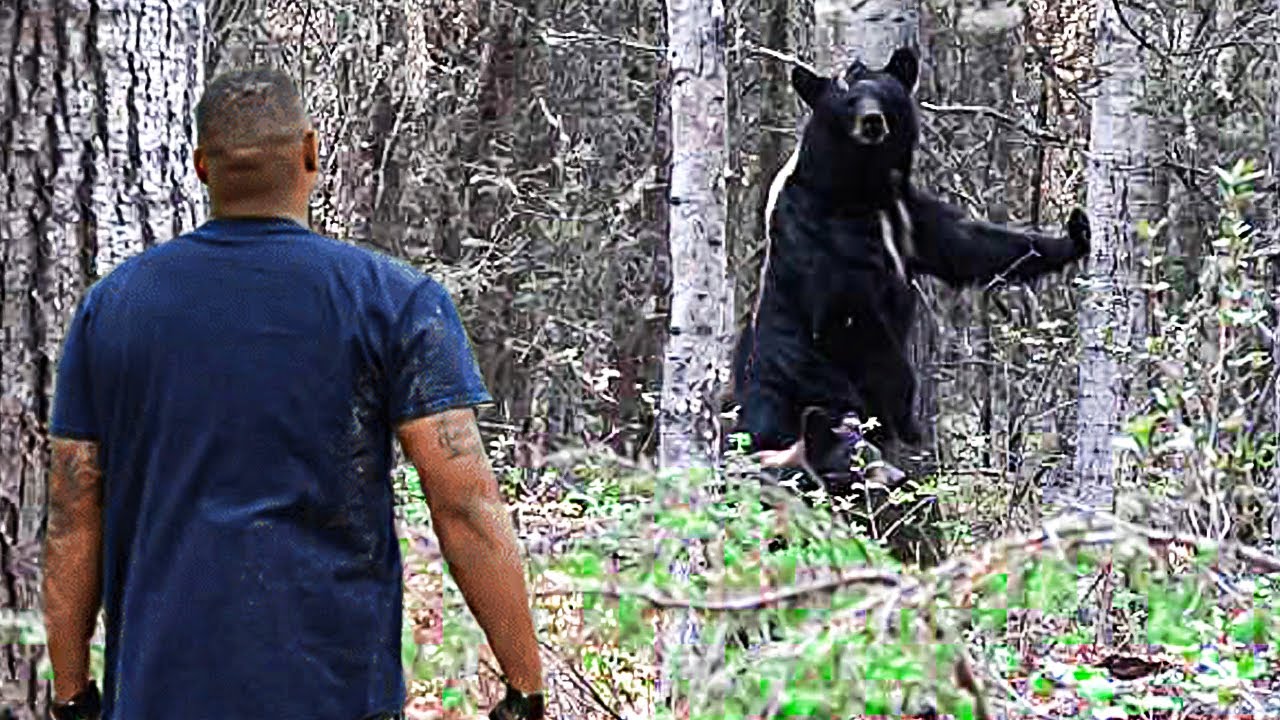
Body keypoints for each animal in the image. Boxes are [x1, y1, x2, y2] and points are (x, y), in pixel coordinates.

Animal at [732, 46, 1091, 482]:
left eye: (885, 96)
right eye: (848, 101)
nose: (872, 121)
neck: (864, 191)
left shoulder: (909, 216)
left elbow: (968, 244)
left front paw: (1073, 235)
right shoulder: (821, 233)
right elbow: (849, 315)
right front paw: (907, 416)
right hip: (798, 389)